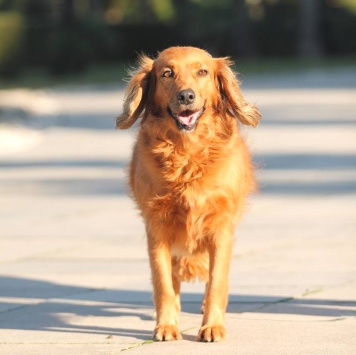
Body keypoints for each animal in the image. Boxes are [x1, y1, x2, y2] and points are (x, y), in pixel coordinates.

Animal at [117, 46, 262, 342]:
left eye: (202, 71)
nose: (186, 96)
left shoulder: (221, 227)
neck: (187, 153)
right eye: (167, 73)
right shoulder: (157, 226)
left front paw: (212, 327)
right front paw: (166, 326)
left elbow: (217, 281)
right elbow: (163, 283)